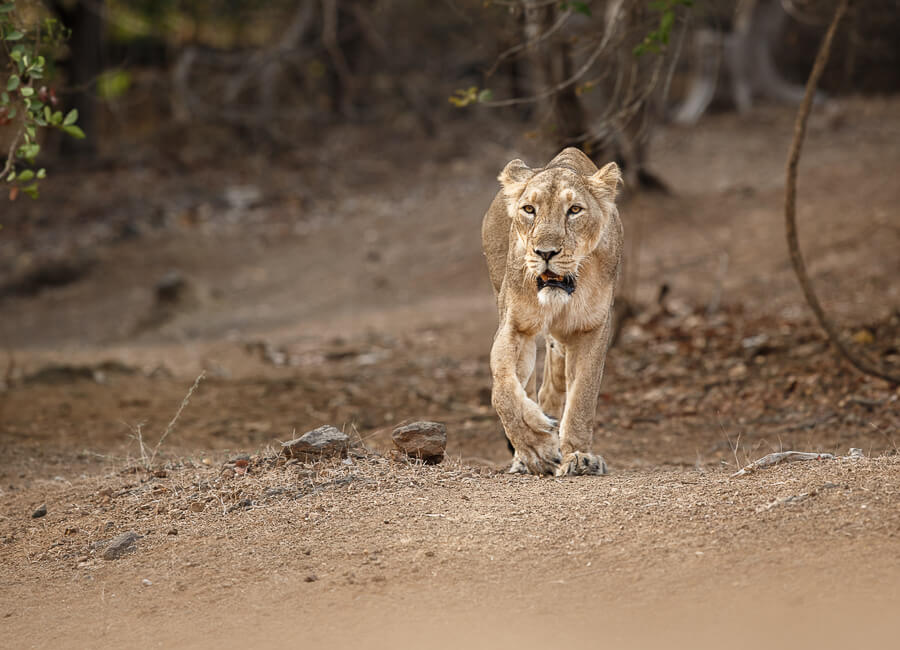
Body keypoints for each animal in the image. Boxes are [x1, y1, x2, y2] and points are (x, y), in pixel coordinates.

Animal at [481, 147, 623, 476]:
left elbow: (583, 396)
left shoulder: (593, 327)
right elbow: (503, 389)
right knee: (529, 386)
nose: (545, 253)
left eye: (574, 210)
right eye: (529, 209)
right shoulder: (515, 325)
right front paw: (536, 448)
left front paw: (579, 456)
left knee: (553, 386)